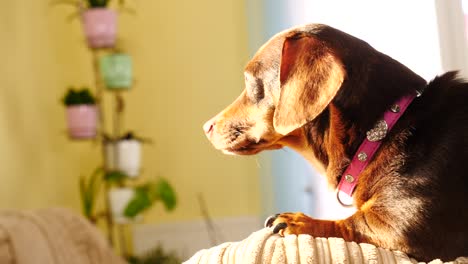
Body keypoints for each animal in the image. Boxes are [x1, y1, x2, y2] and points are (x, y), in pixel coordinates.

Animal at [202, 24, 468, 262]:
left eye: (249, 82)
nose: (206, 127)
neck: (386, 130)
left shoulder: (403, 226)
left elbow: (350, 224)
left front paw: (298, 221)